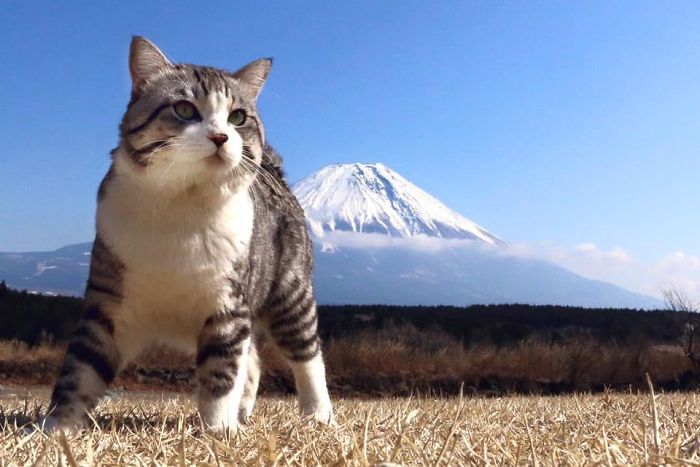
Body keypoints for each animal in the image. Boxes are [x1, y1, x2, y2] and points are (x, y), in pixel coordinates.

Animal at [42, 37, 334, 436]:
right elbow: (80, 369)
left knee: (306, 355)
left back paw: (318, 414)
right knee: (253, 360)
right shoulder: (108, 304)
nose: (220, 136)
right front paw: (55, 429)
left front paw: (218, 431)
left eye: (238, 117)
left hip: (289, 292)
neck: (182, 204)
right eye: (184, 109)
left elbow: (220, 375)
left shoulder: (228, 308)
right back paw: (244, 411)